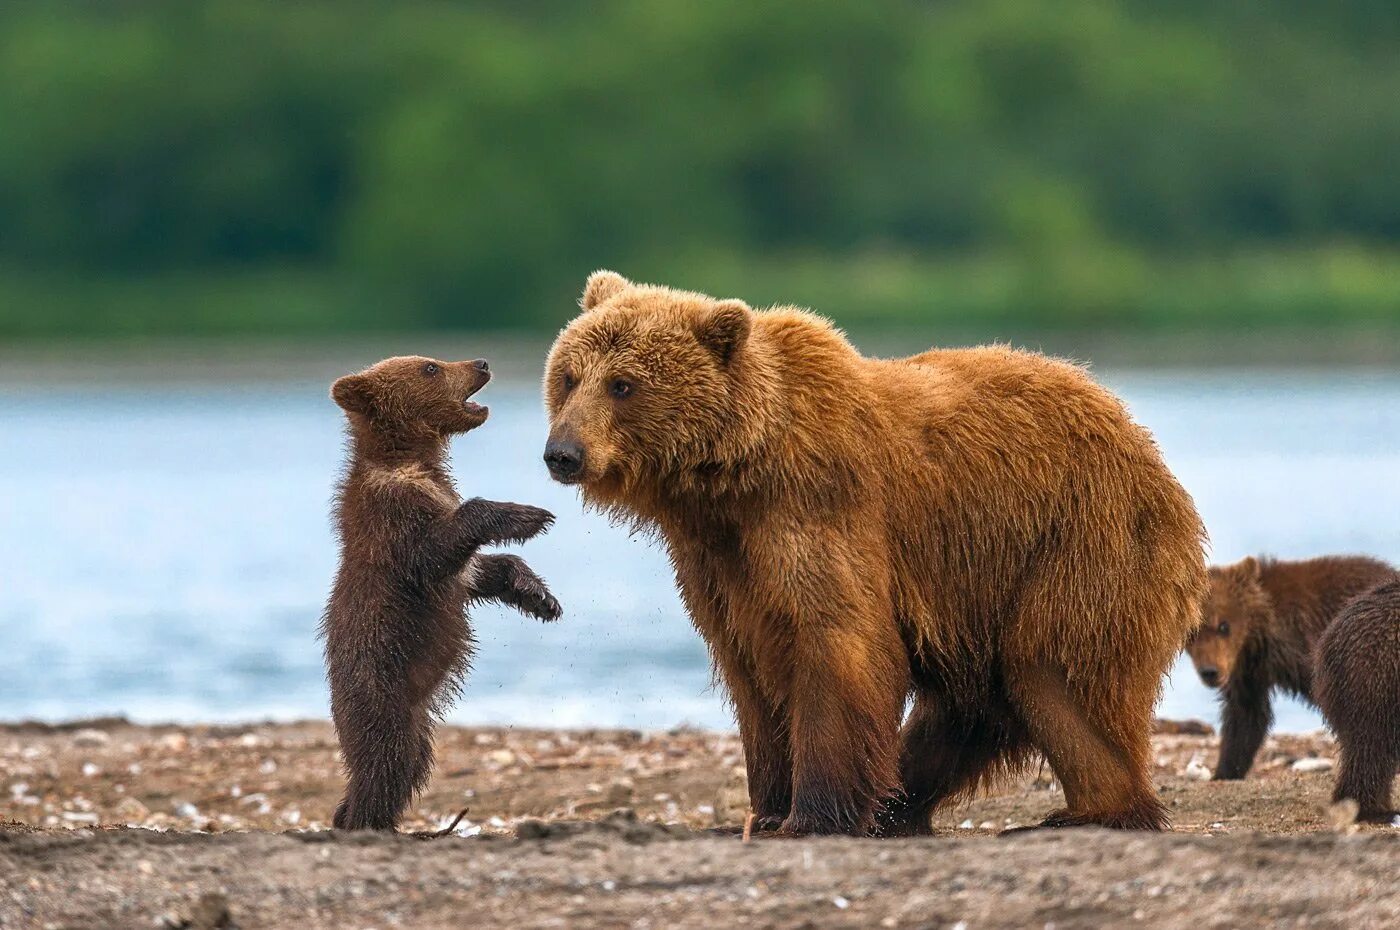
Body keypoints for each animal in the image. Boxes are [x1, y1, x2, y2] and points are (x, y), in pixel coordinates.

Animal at [540, 270, 1209, 834]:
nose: (562, 453)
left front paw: (811, 815)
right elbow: (747, 665)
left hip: (1077, 541)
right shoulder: (719, 557)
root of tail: (1146, 446)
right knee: (973, 705)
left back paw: (1090, 811)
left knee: (1049, 672)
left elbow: (838, 637)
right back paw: (900, 805)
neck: (731, 477)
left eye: (623, 385)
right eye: (569, 376)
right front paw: (767, 809)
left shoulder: (818, 506)